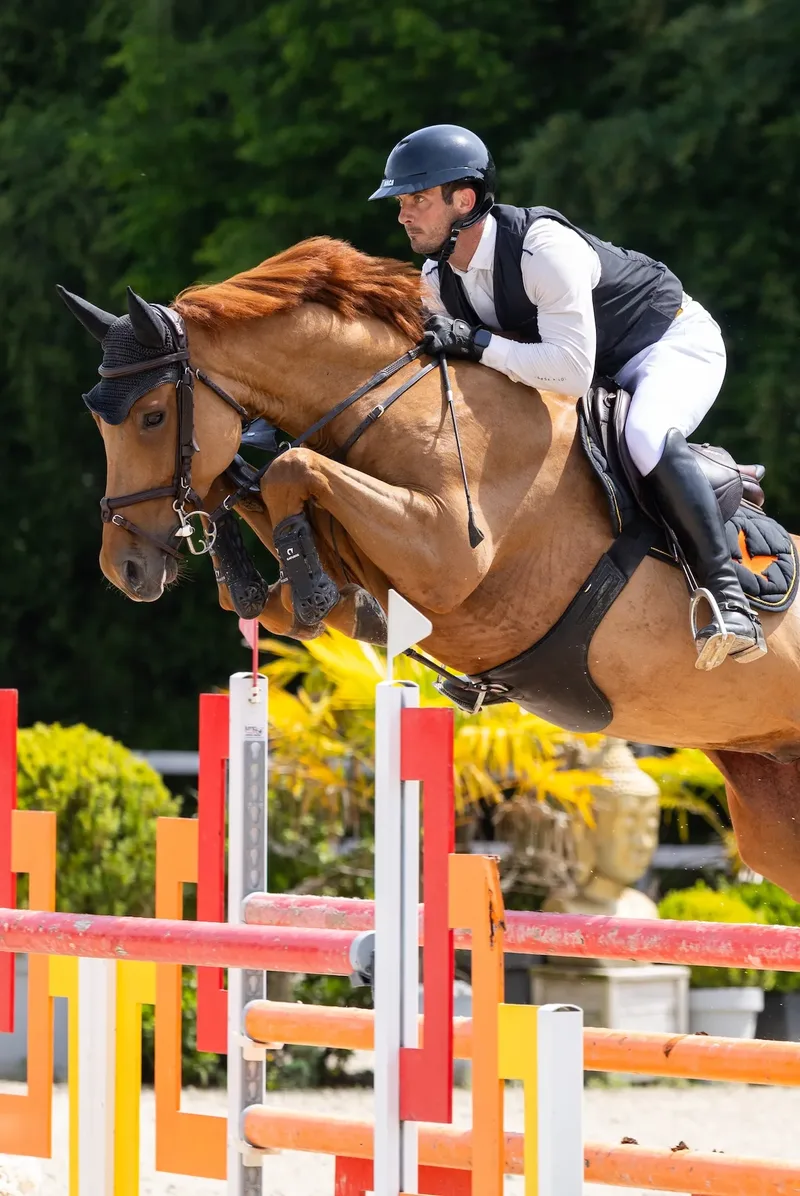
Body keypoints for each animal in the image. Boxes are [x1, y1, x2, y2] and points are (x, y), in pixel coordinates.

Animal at [60, 237, 800, 899]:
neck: (394, 404)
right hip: (772, 815)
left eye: (153, 416)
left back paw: (730, 624)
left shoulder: (447, 554)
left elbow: (291, 468)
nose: (125, 567)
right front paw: (257, 580)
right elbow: (266, 495)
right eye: (101, 425)